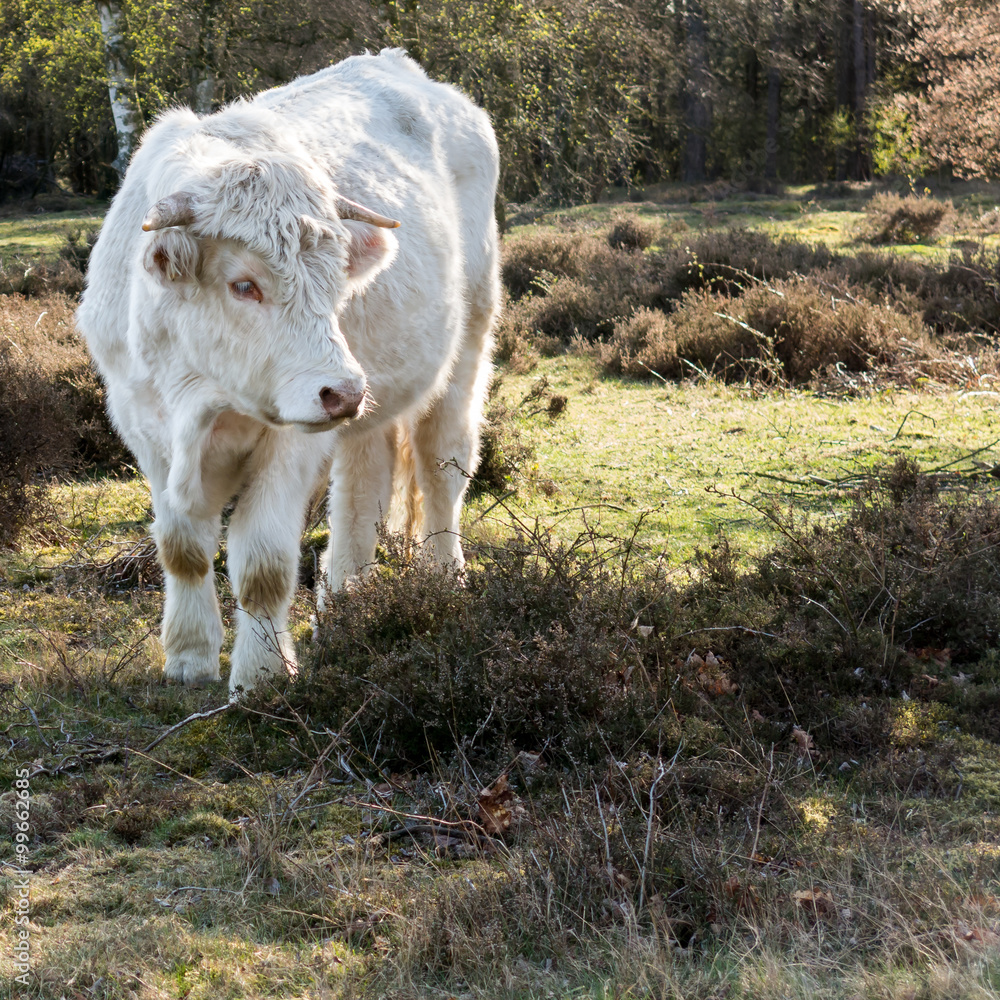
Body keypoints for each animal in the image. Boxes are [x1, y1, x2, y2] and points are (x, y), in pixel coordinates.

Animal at [77, 49, 501, 695]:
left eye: (335, 280)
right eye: (243, 284)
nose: (343, 392)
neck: (201, 395)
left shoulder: (290, 442)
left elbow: (264, 565)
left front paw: (263, 676)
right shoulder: (143, 426)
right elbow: (182, 549)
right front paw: (190, 659)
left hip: (467, 343)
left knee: (441, 467)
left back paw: (443, 581)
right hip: (374, 400)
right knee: (362, 487)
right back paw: (347, 604)